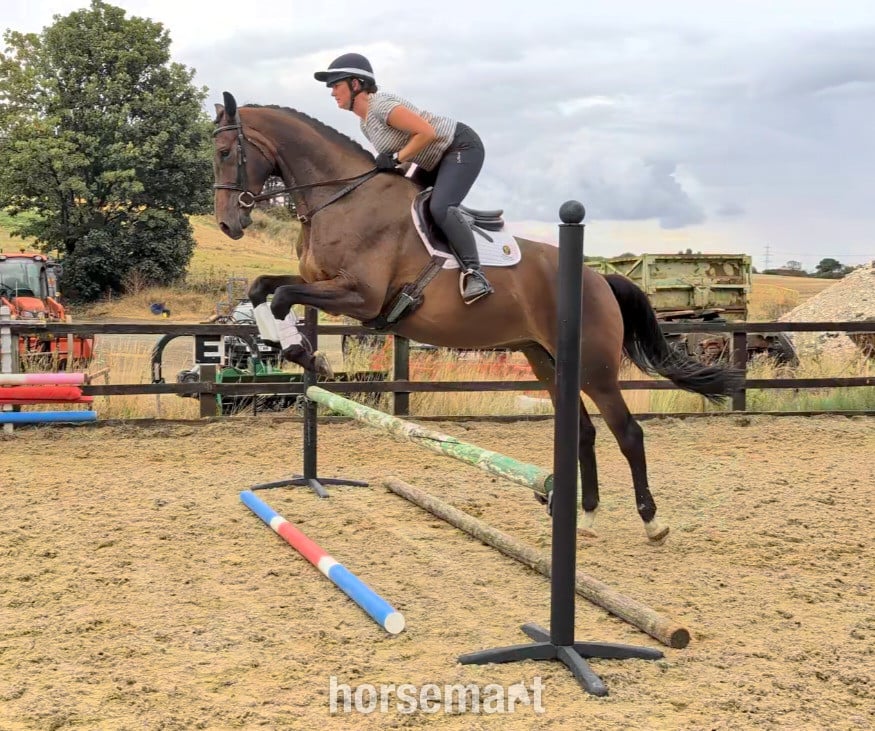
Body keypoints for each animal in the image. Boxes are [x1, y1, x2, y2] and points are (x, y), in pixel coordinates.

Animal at [212, 91, 743, 543]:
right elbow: (263, 289)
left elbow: (282, 297)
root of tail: (597, 278)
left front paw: (305, 355)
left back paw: (652, 523)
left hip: (595, 366)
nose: (228, 224)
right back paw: (587, 516)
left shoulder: (361, 298)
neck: (342, 197)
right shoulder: (323, 284)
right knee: (585, 431)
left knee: (627, 432)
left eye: (223, 151)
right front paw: (291, 351)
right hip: (545, 359)